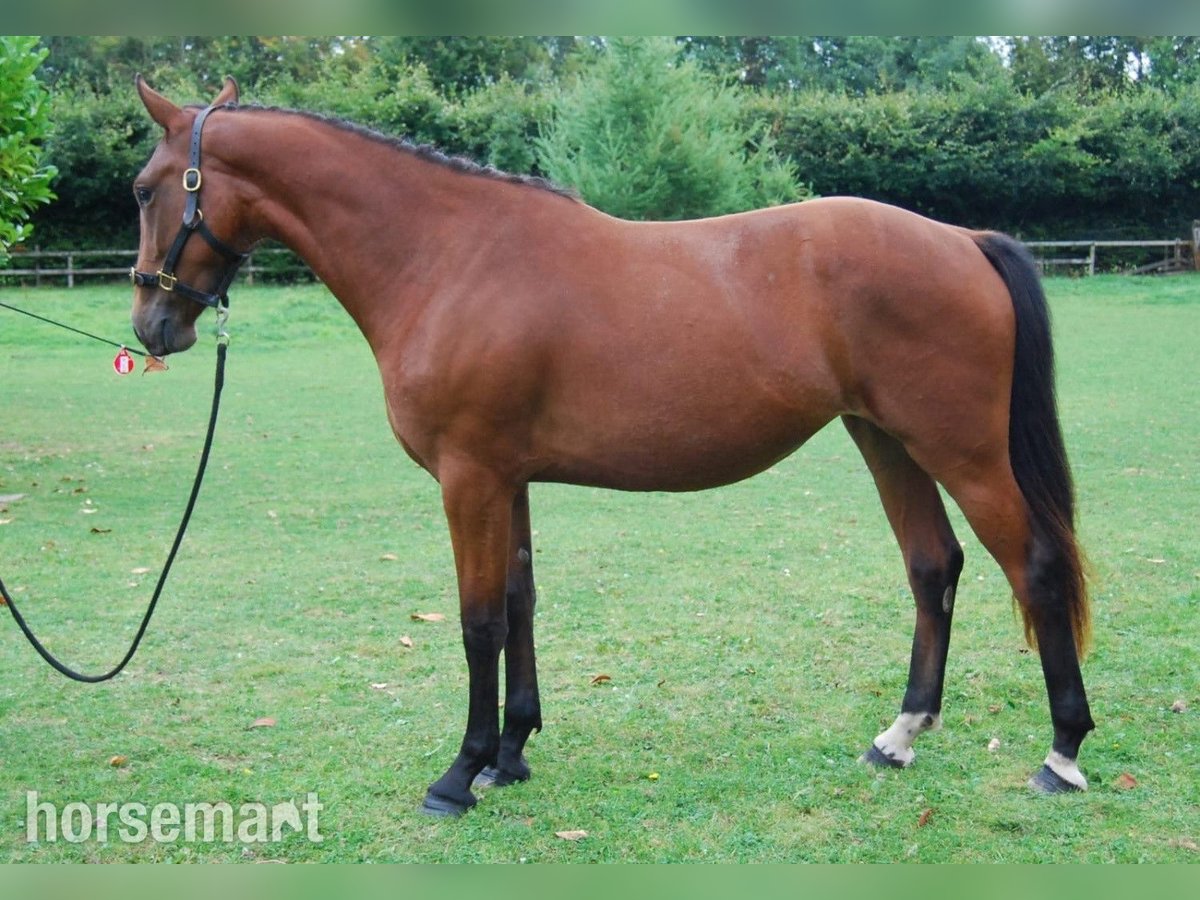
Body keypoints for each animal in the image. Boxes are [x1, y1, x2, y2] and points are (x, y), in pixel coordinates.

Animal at [130, 76, 1094, 816]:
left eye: (145, 187)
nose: (152, 324)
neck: (449, 257)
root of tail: (961, 240)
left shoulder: (468, 477)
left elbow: (478, 621)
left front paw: (459, 773)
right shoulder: (506, 477)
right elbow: (520, 601)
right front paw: (511, 753)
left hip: (960, 449)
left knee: (1035, 566)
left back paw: (1063, 752)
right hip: (886, 440)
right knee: (934, 567)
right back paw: (900, 736)